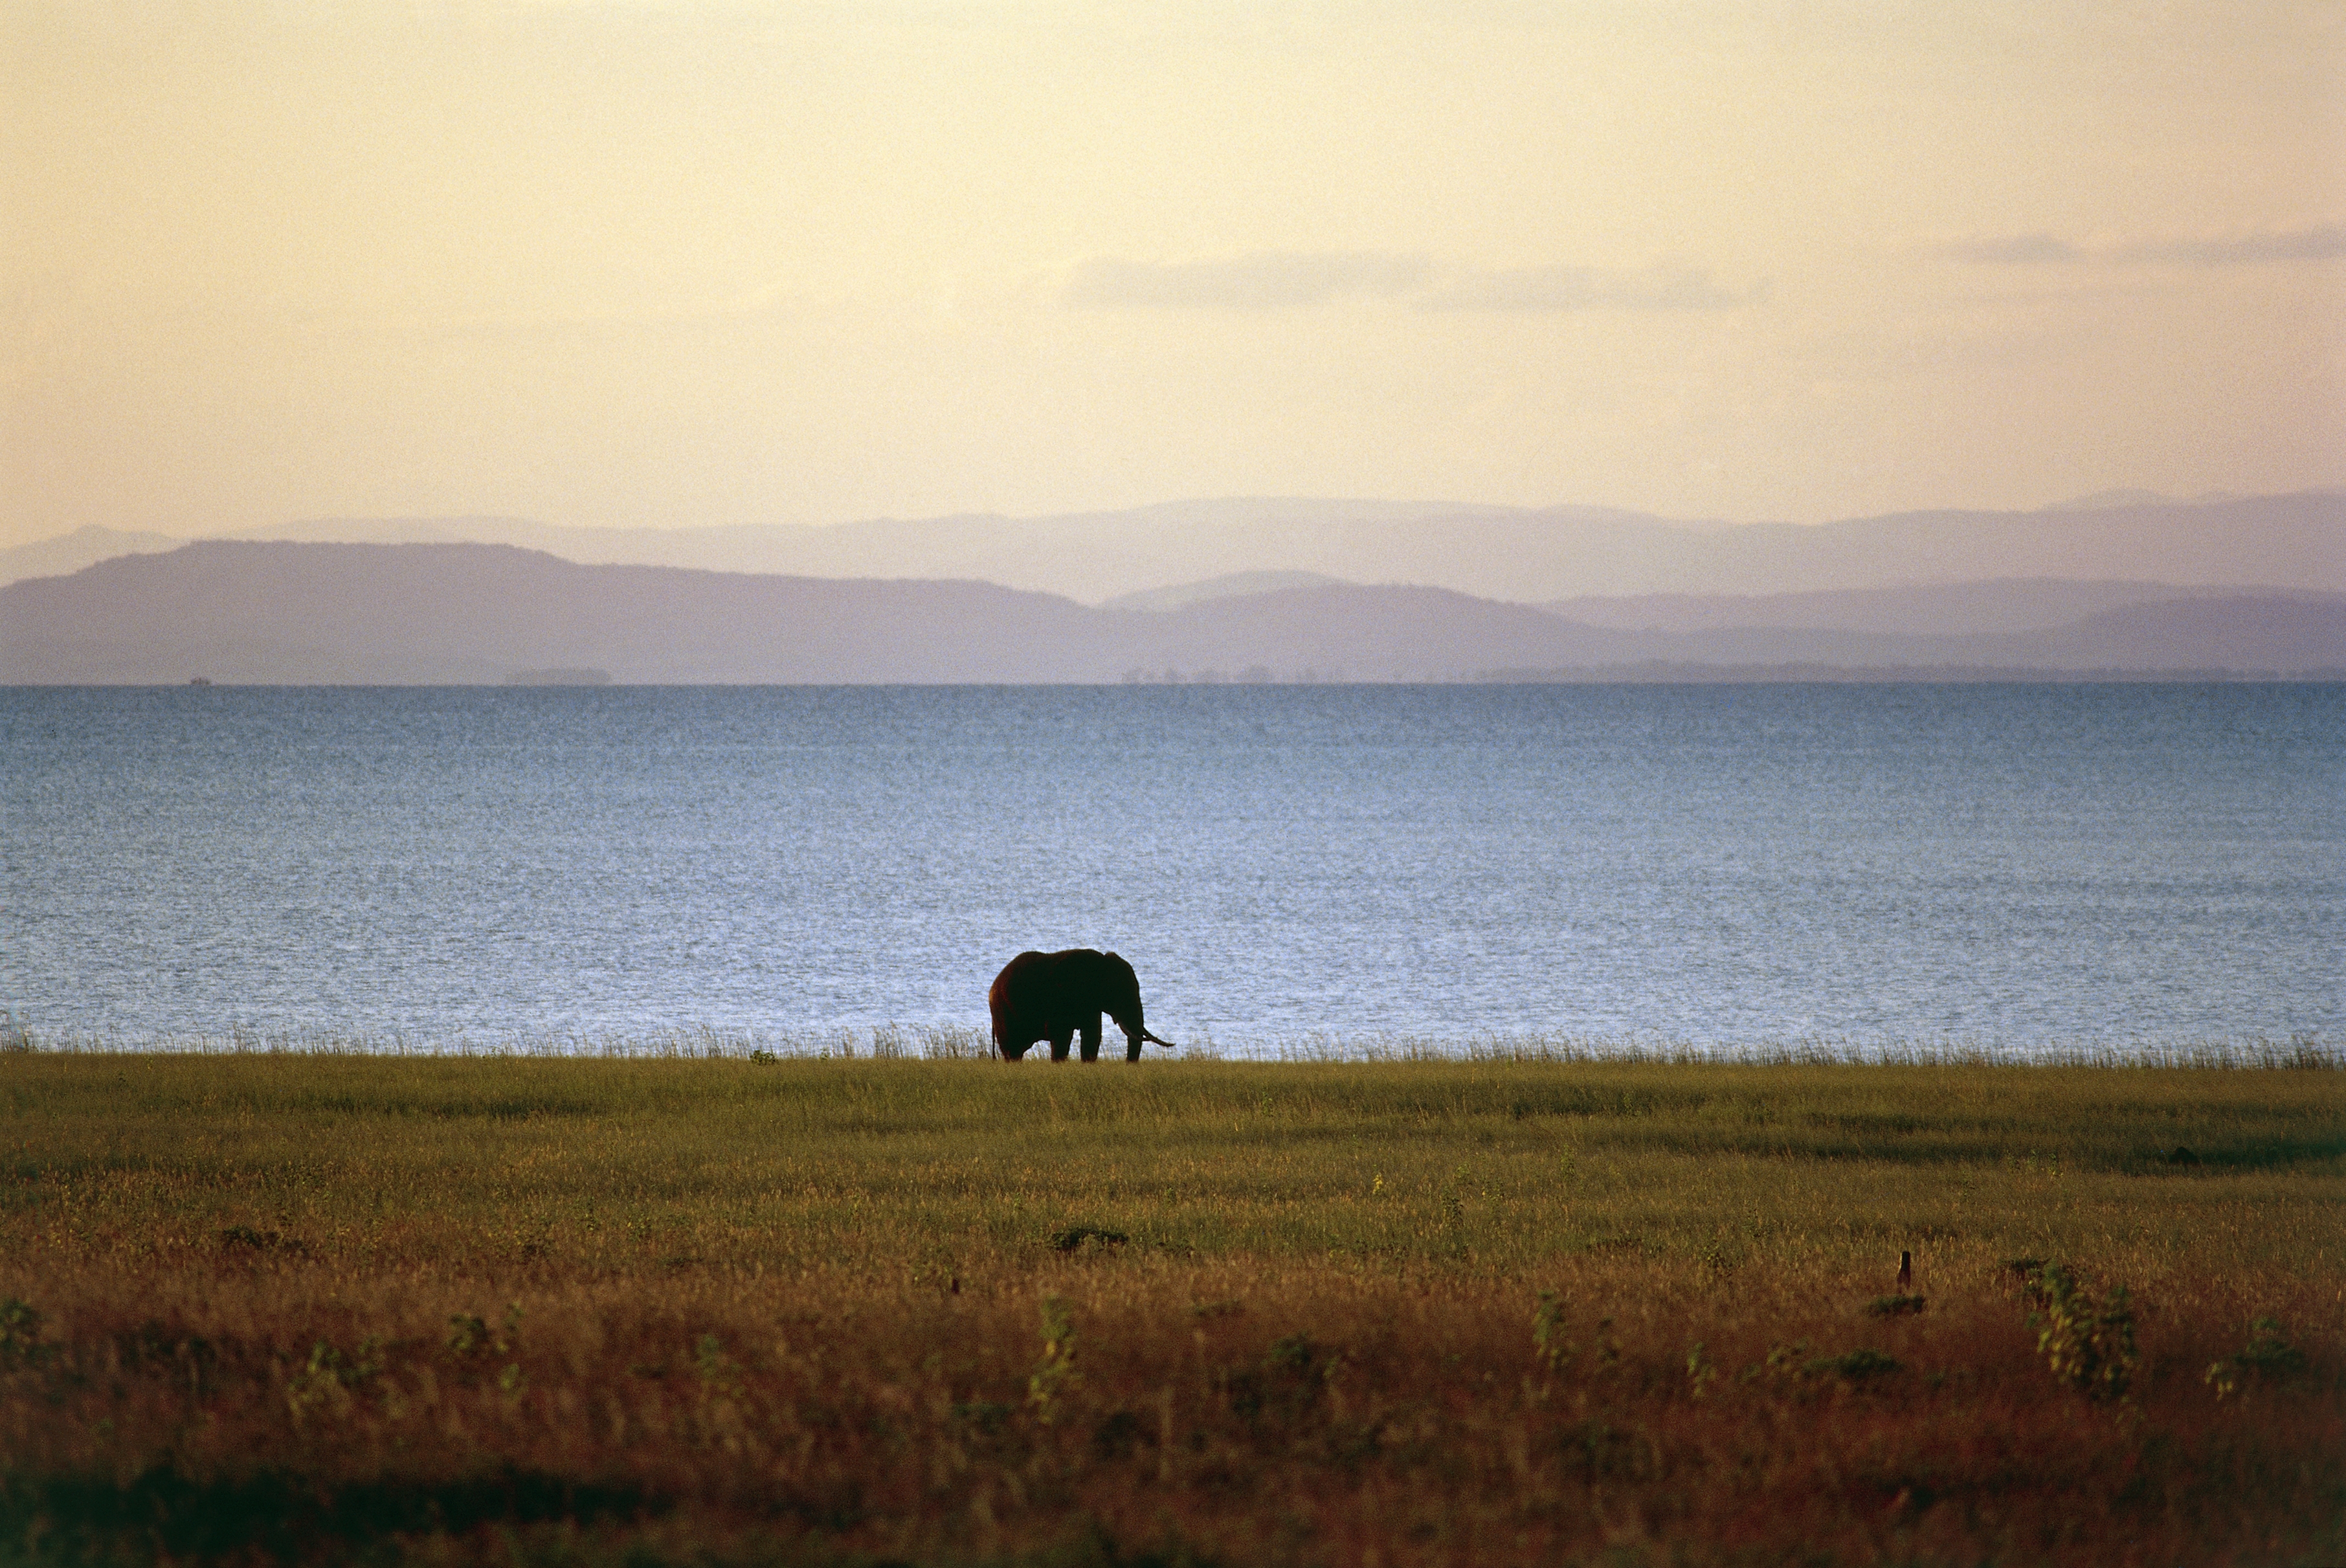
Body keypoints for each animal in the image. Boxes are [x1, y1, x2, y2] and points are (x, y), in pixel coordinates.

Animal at [989, 949, 1178, 1062]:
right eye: (1119, 993)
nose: (1128, 1065)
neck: (1101, 964)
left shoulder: (1091, 1005)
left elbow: (1092, 1035)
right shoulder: (1062, 996)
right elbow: (1061, 1035)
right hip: (1003, 1012)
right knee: (1012, 1049)